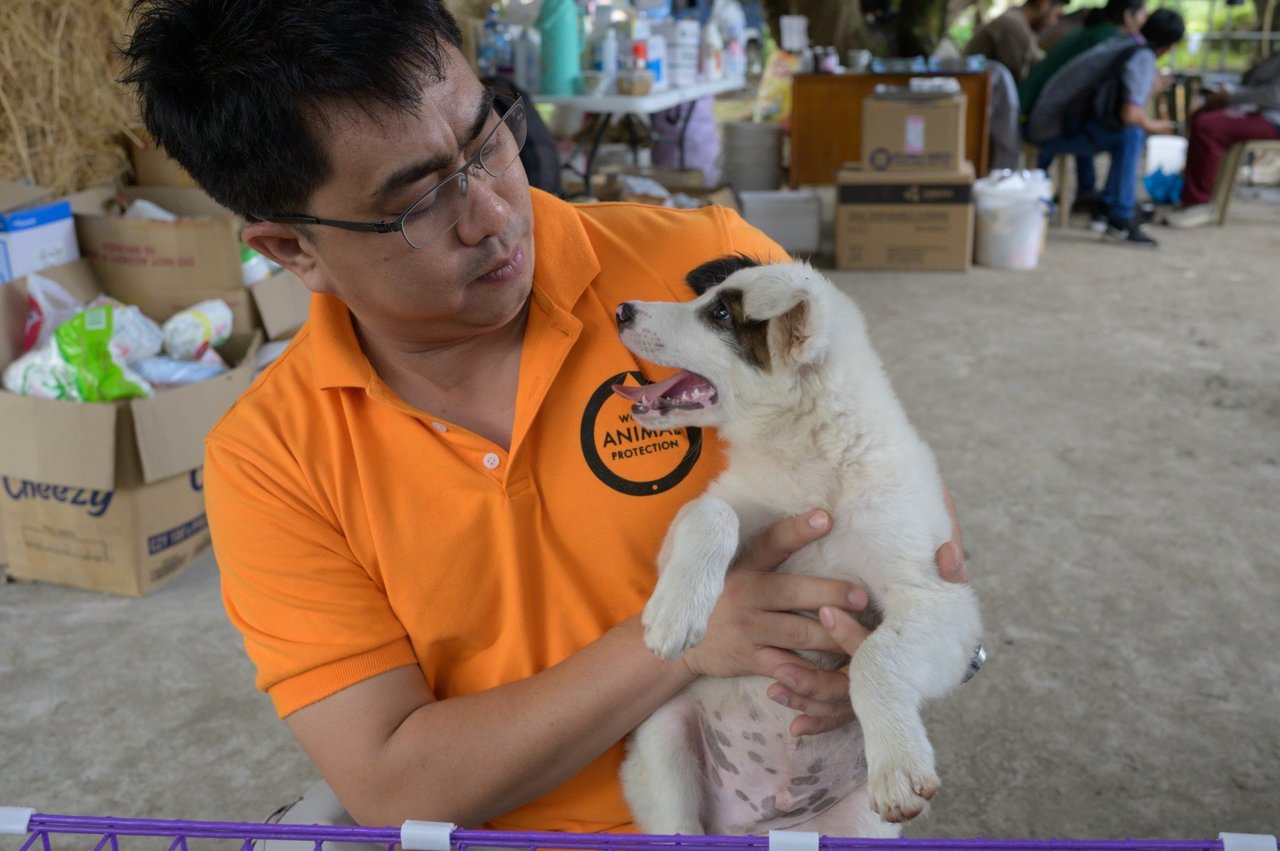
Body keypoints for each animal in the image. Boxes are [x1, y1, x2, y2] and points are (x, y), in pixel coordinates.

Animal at [614, 255, 983, 834]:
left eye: (720, 313)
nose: (621, 310)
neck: (812, 462)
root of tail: (760, 822)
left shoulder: (939, 598)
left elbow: (875, 657)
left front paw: (898, 762)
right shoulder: (700, 525)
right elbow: (712, 513)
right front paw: (676, 612)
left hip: (858, 826)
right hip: (663, 738)